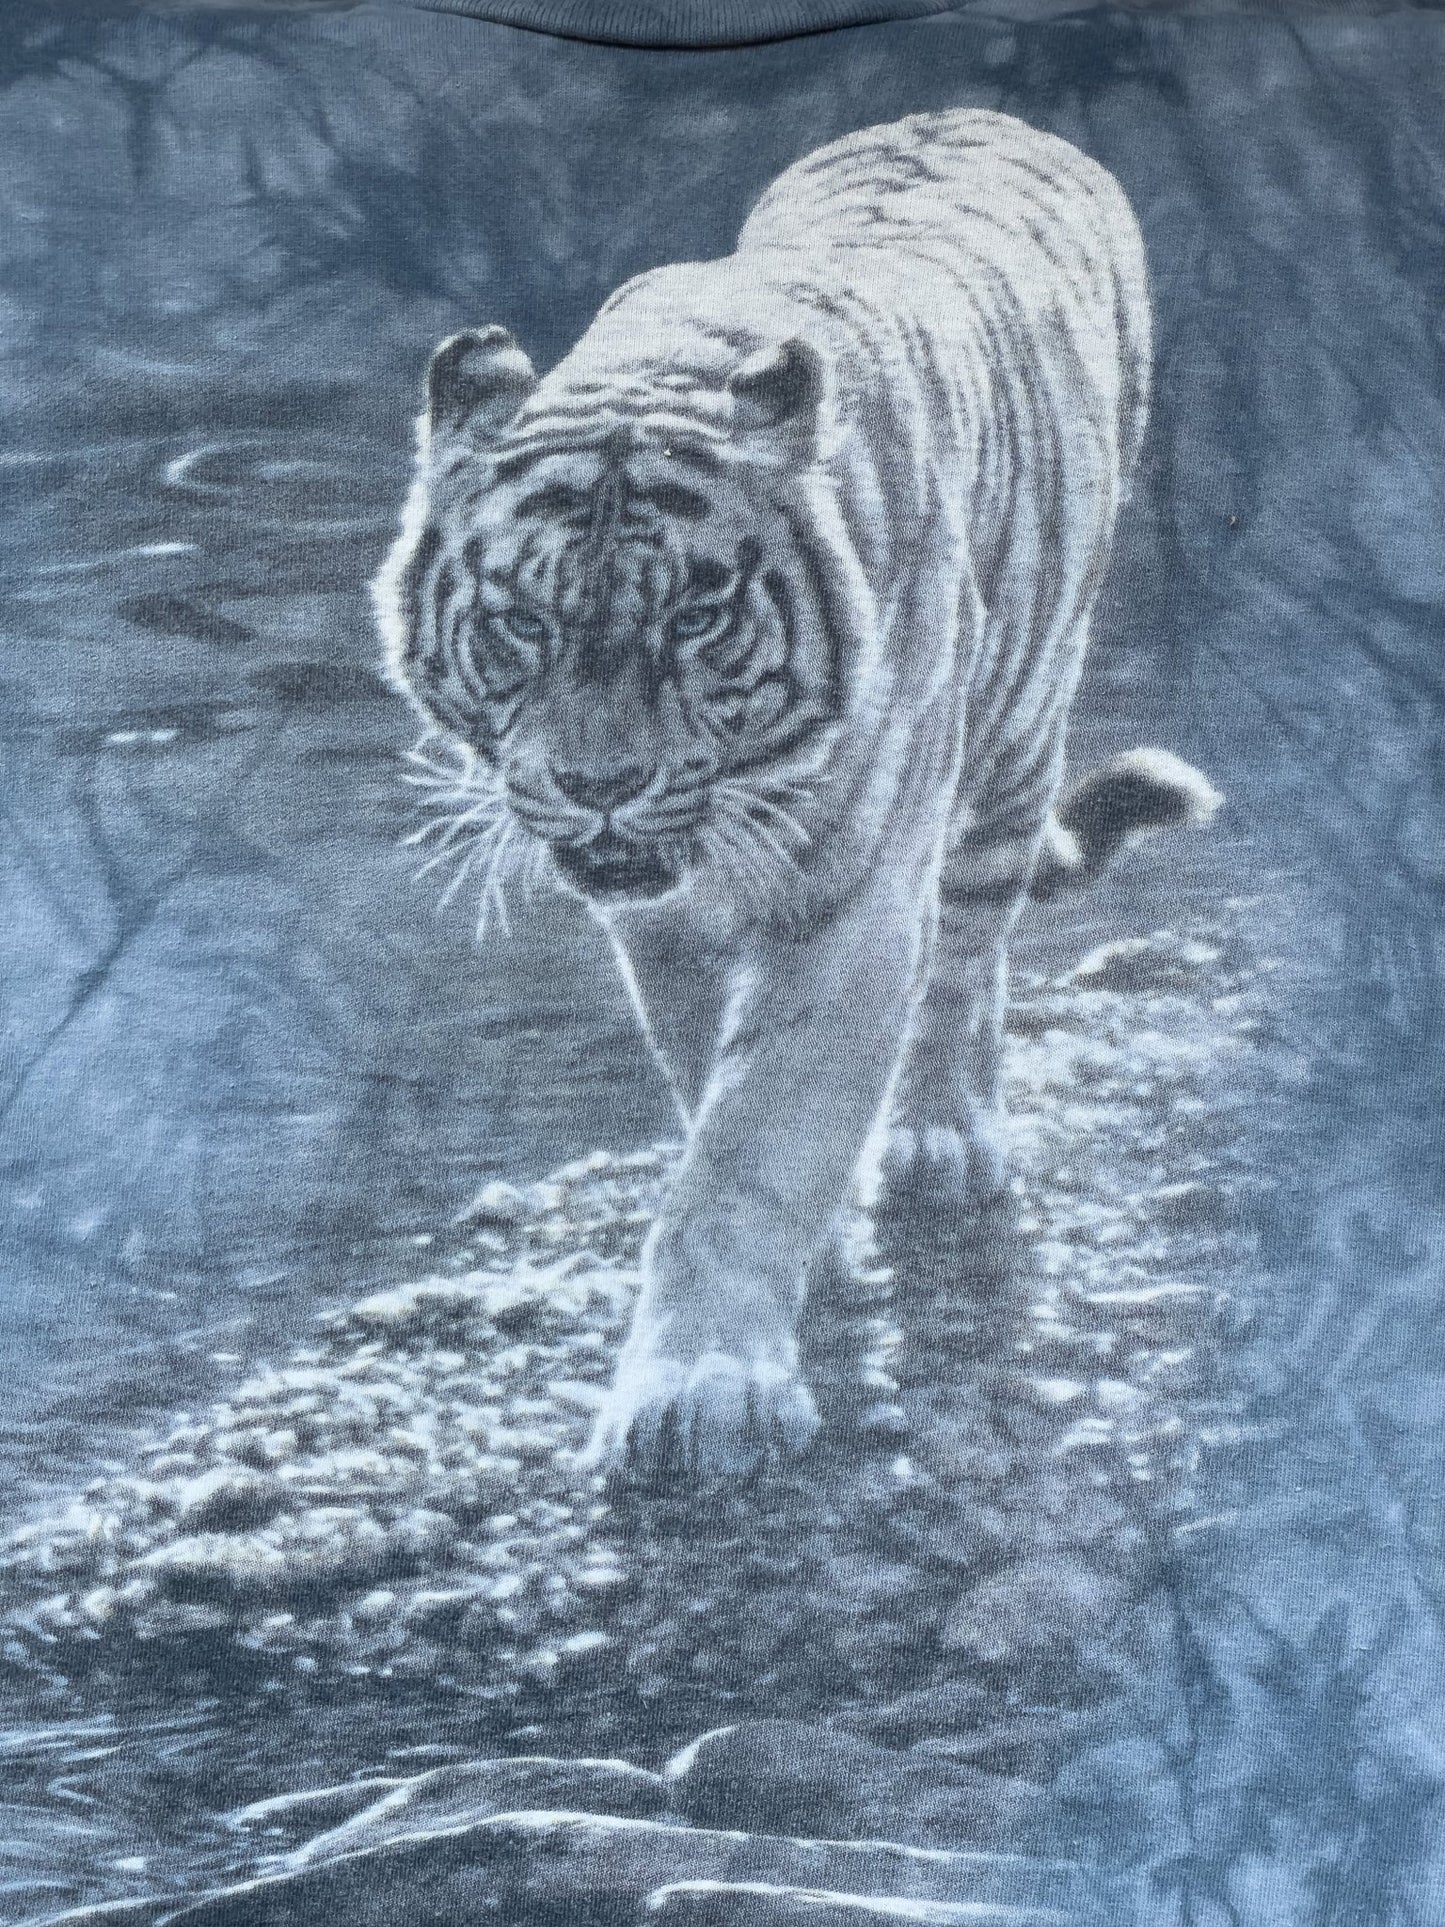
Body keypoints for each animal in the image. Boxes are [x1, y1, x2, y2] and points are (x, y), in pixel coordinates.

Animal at [372, 108, 1221, 1481]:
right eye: (522, 622)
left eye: (695, 618)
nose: (597, 785)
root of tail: (977, 113)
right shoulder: (660, 919)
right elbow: (703, 1081)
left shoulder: (851, 896)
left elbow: (755, 1135)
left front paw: (701, 1391)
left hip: (1015, 733)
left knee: (967, 958)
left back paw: (939, 1140)